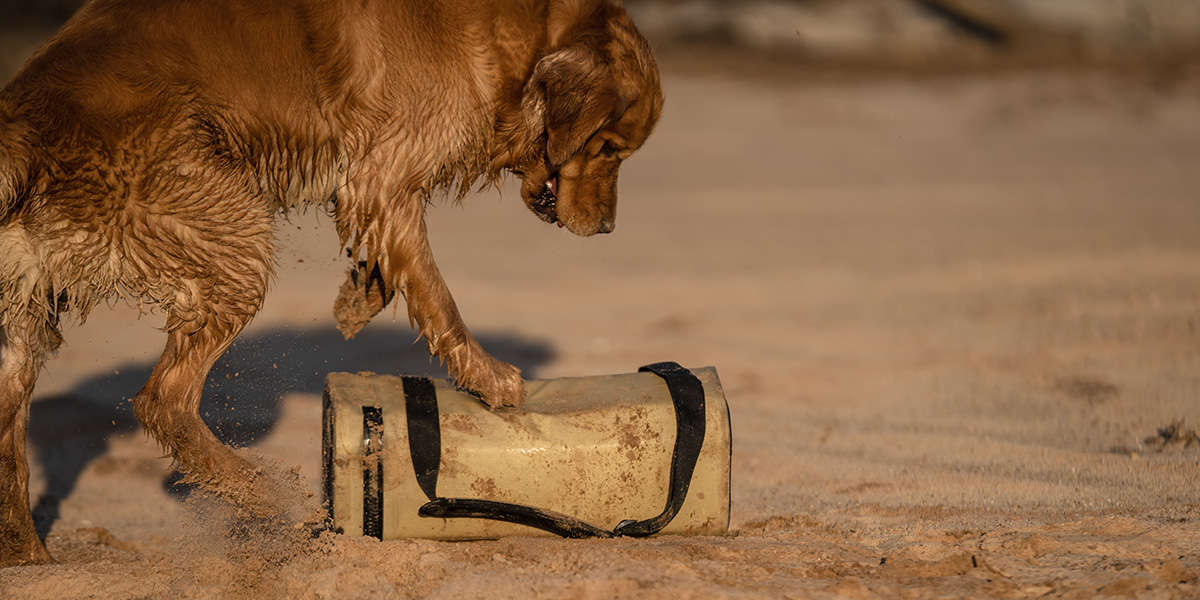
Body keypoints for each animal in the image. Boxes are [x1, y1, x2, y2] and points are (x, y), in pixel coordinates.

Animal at [0, 0, 662, 564]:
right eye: (609, 149)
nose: (606, 228)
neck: (518, 38)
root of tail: (26, 126)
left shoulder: (374, 184)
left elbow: (395, 263)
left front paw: (357, 297)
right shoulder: (387, 169)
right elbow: (438, 297)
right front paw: (487, 376)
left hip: (27, 322)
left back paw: (31, 557)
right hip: (235, 240)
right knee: (162, 399)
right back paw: (264, 497)